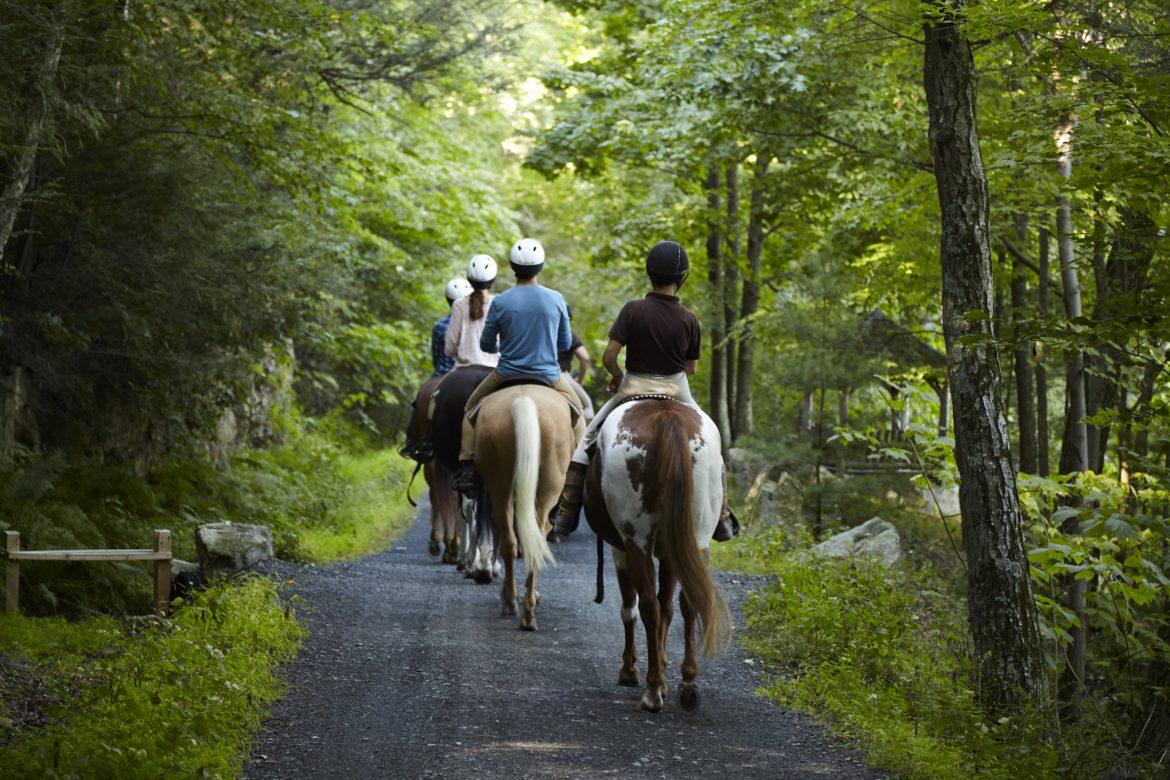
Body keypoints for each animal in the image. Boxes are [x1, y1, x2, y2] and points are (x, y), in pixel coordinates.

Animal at [467, 381, 573, 631]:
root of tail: (525, 401)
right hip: (548, 490)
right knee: (535, 538)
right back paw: (524, 609)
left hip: (499, 487)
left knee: (511, 542)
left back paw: (517, 607)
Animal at [582, 402, 734, 715]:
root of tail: (667, 416)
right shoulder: (670, 550)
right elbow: (669, 607)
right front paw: (664, 672)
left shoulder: (621, 549)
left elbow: (632, 607)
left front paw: (632, 671)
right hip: (696, 537)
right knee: (688, 601)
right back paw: (688, 684)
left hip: (636, 540)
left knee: (648, 606)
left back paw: (651, 690)